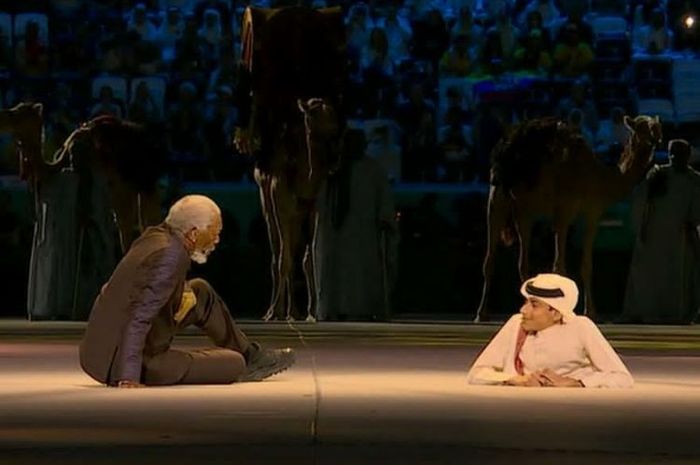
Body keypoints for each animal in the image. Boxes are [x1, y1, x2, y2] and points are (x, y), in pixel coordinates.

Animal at [476, 114, 660, 320]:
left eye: (657, 126)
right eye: (640, 128)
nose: (655, 138)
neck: (598, 178)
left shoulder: (593, 212)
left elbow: (587, 265)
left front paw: (590, 311)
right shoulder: (564, 208)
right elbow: (559, 267)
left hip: (521, 207)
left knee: (514, 261)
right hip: (498, 199)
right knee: (494, 257)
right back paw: (482, 313)